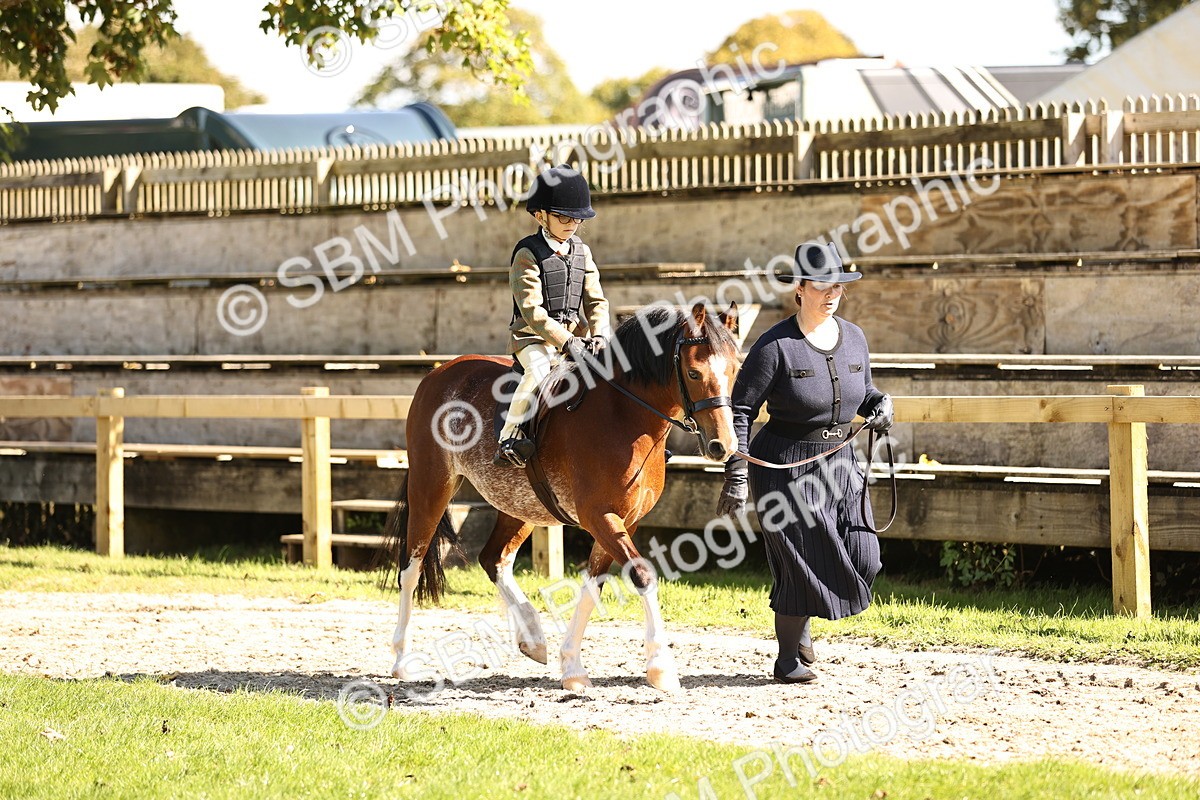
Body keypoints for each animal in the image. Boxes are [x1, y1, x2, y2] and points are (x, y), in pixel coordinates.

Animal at [386, 301, 740, 692]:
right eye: (693, 372)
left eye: (735, 370)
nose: (723, 445)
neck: (624, 414)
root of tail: (439, 373)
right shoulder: (599, 517)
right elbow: (642, 575)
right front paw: (661, 667)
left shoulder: (622, 521)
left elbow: (592, 586)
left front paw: (571, 667)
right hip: (431, 487)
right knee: (411, 568)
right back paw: (402, 661)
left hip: (521, 505)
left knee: (494, 559)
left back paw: (533, 637)